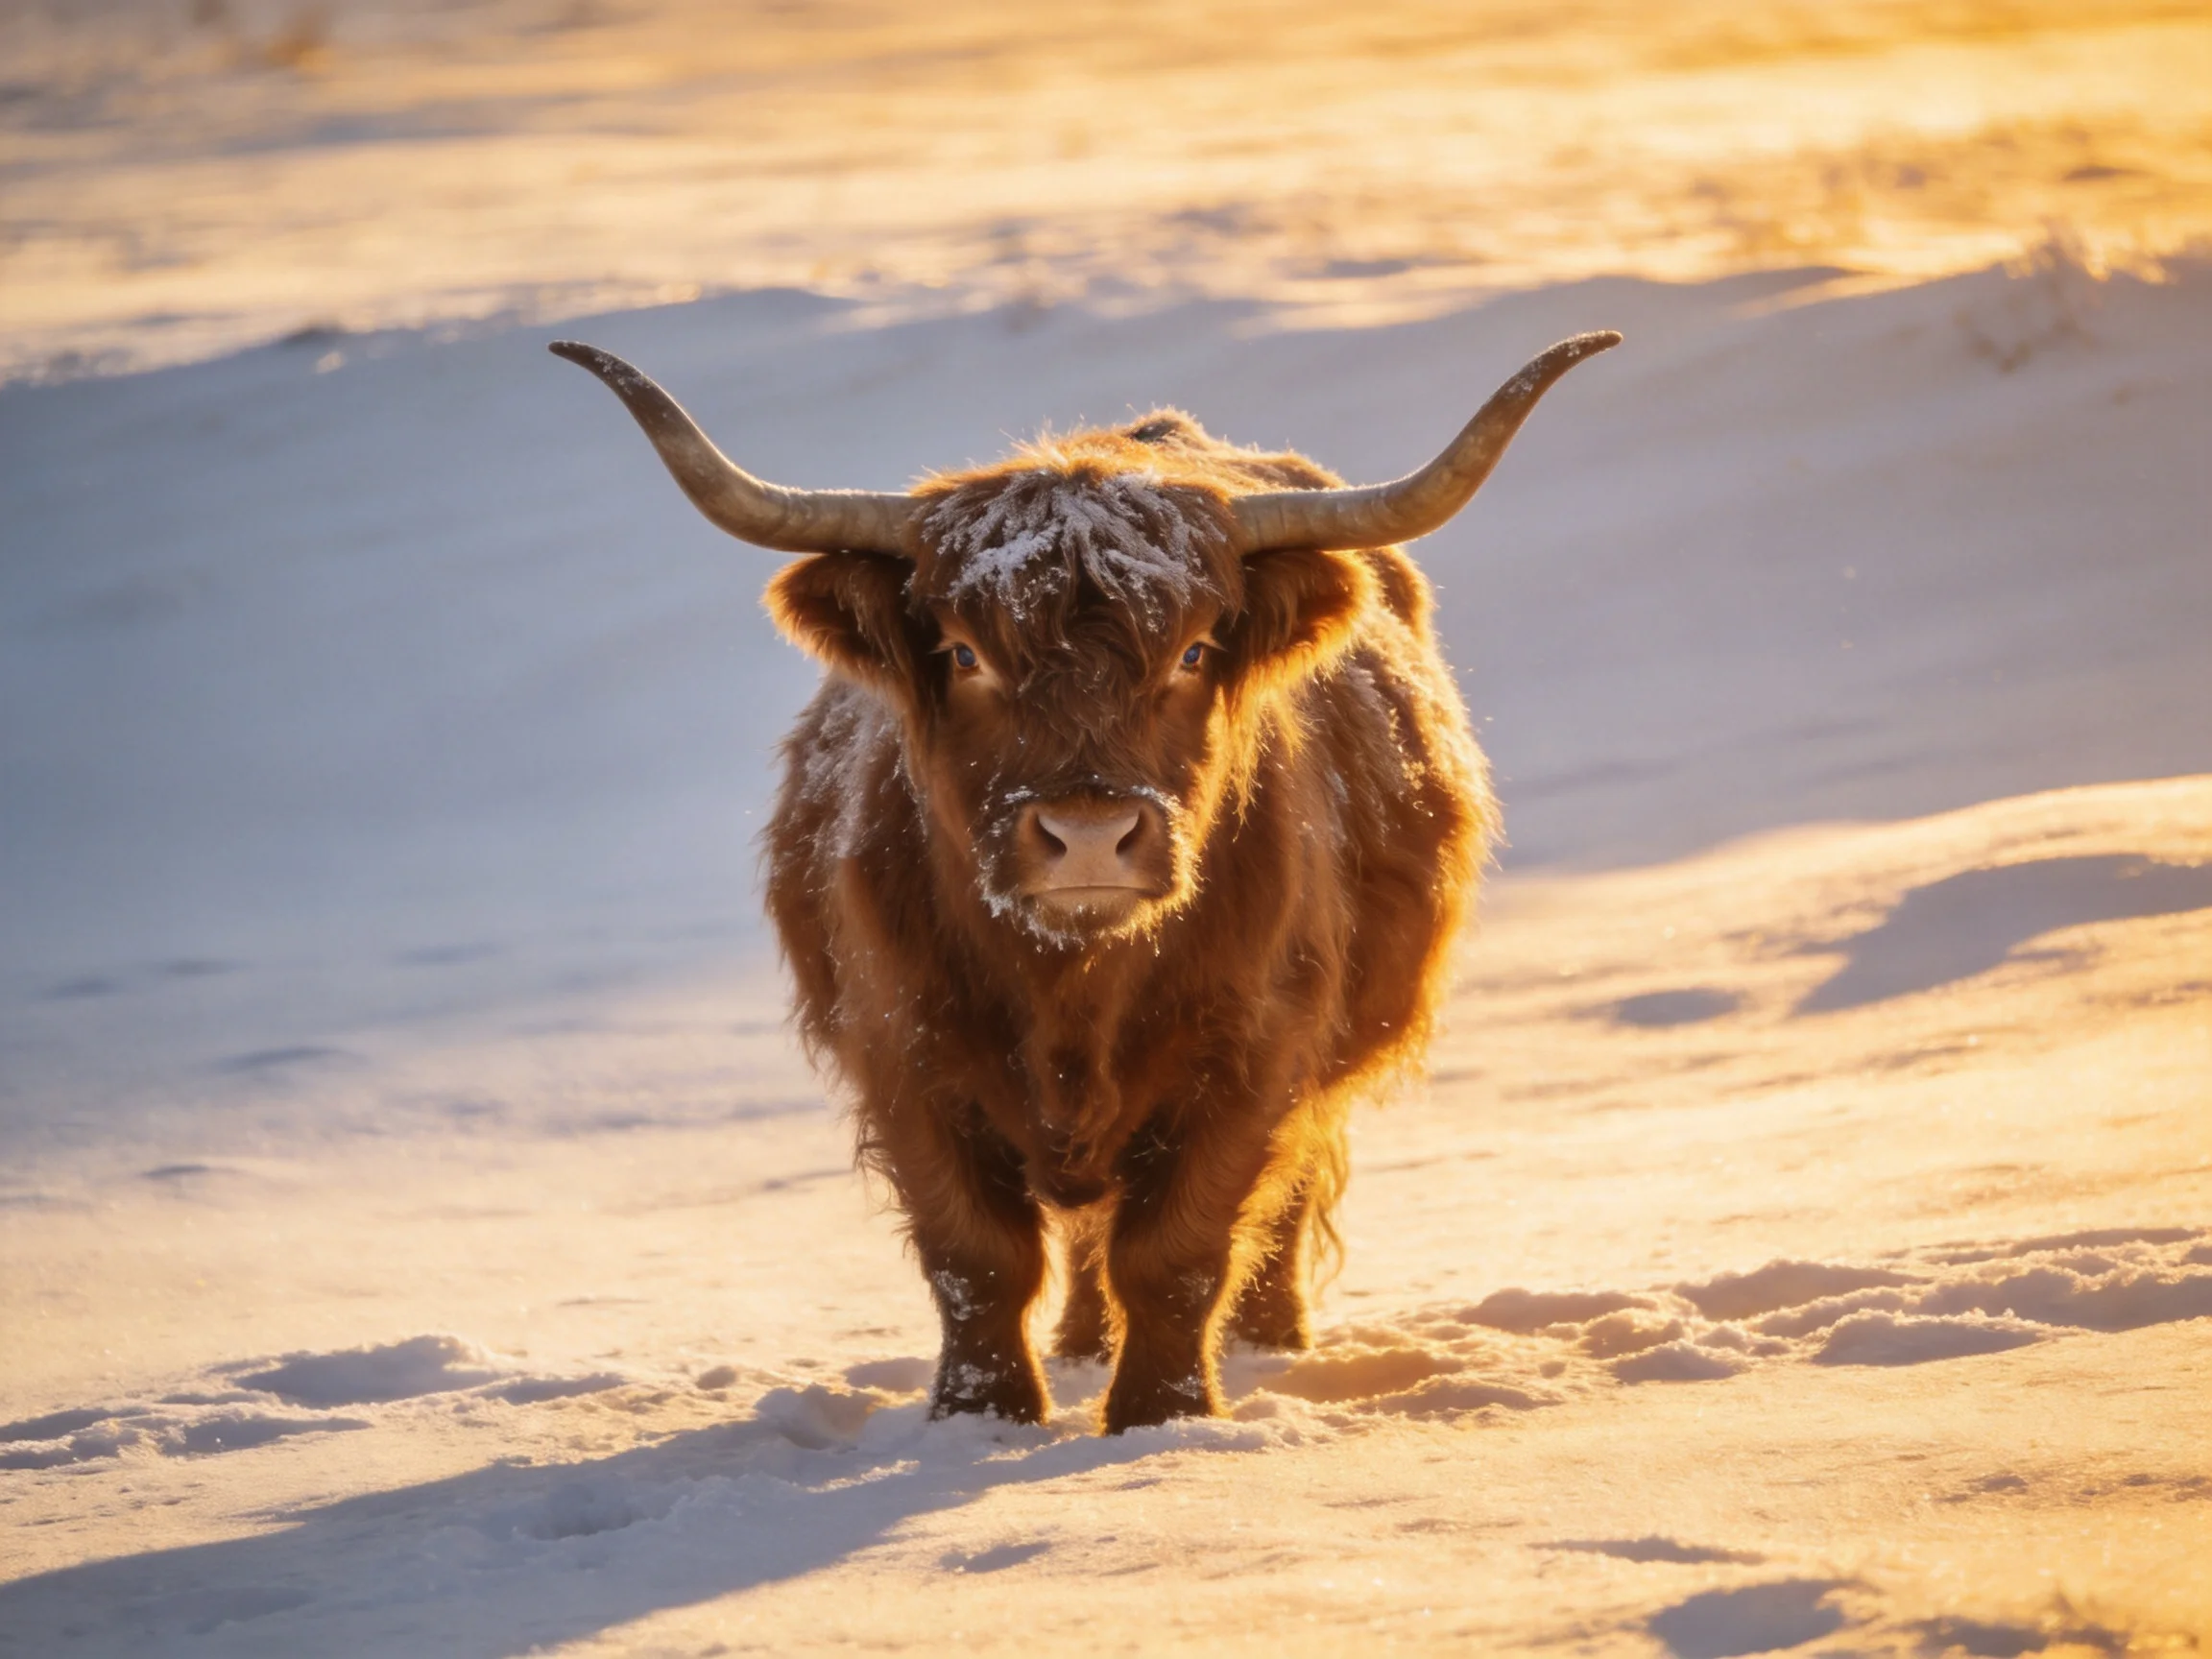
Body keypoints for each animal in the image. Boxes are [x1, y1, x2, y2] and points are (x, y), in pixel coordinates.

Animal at [551, 328, 1619, 1432]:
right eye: (963, 654)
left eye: (1193, 650)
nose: (1091, 833)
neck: (1073, 991)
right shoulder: (903, 1049)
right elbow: (977, 1257)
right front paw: (983, 1415)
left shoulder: (1256, 1051)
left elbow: (1181, 1248)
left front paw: (1161, 1415)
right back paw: (1078, 1348)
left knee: (1278, 1195)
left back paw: (1267, 1340)